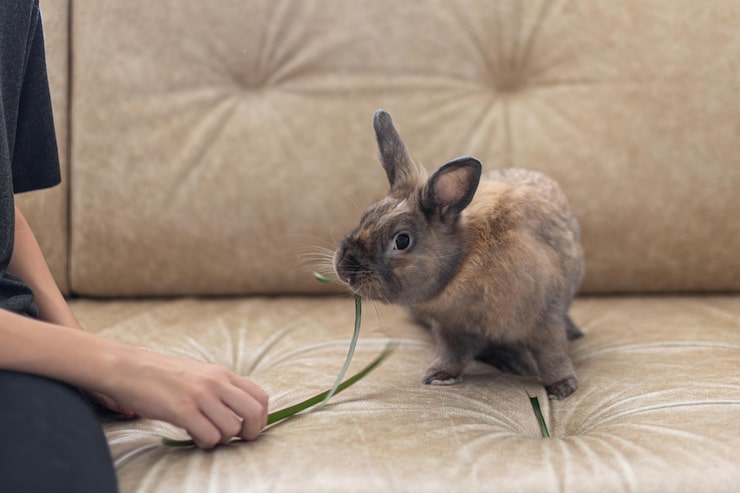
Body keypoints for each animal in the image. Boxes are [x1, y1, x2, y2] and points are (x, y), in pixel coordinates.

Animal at [333, 110, 584, 400]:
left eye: (402, 240)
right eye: (366, 216)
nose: (344, 269)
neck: (464, 264)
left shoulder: (545, 320)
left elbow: (552, 356)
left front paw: (562, 388)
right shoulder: (449, 329)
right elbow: (451, 355)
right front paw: (438, 376)